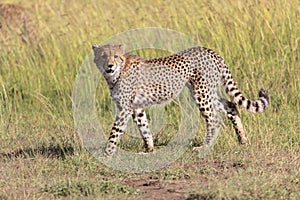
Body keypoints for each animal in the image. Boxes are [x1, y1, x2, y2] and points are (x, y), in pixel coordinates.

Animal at [92, 43, 270, 156]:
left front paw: (106, 153)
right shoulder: (136, 107)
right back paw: (242, 139)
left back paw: (204, 148)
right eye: (103, 56)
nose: (110, 65)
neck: (117, 73)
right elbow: (144, 128)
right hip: (208, 91)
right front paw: (149, 150)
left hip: (201, 93)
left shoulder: (125, 108)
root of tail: (210, 50)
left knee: (214, 120)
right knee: (231, 105)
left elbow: (115, 132)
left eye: (115, 56)